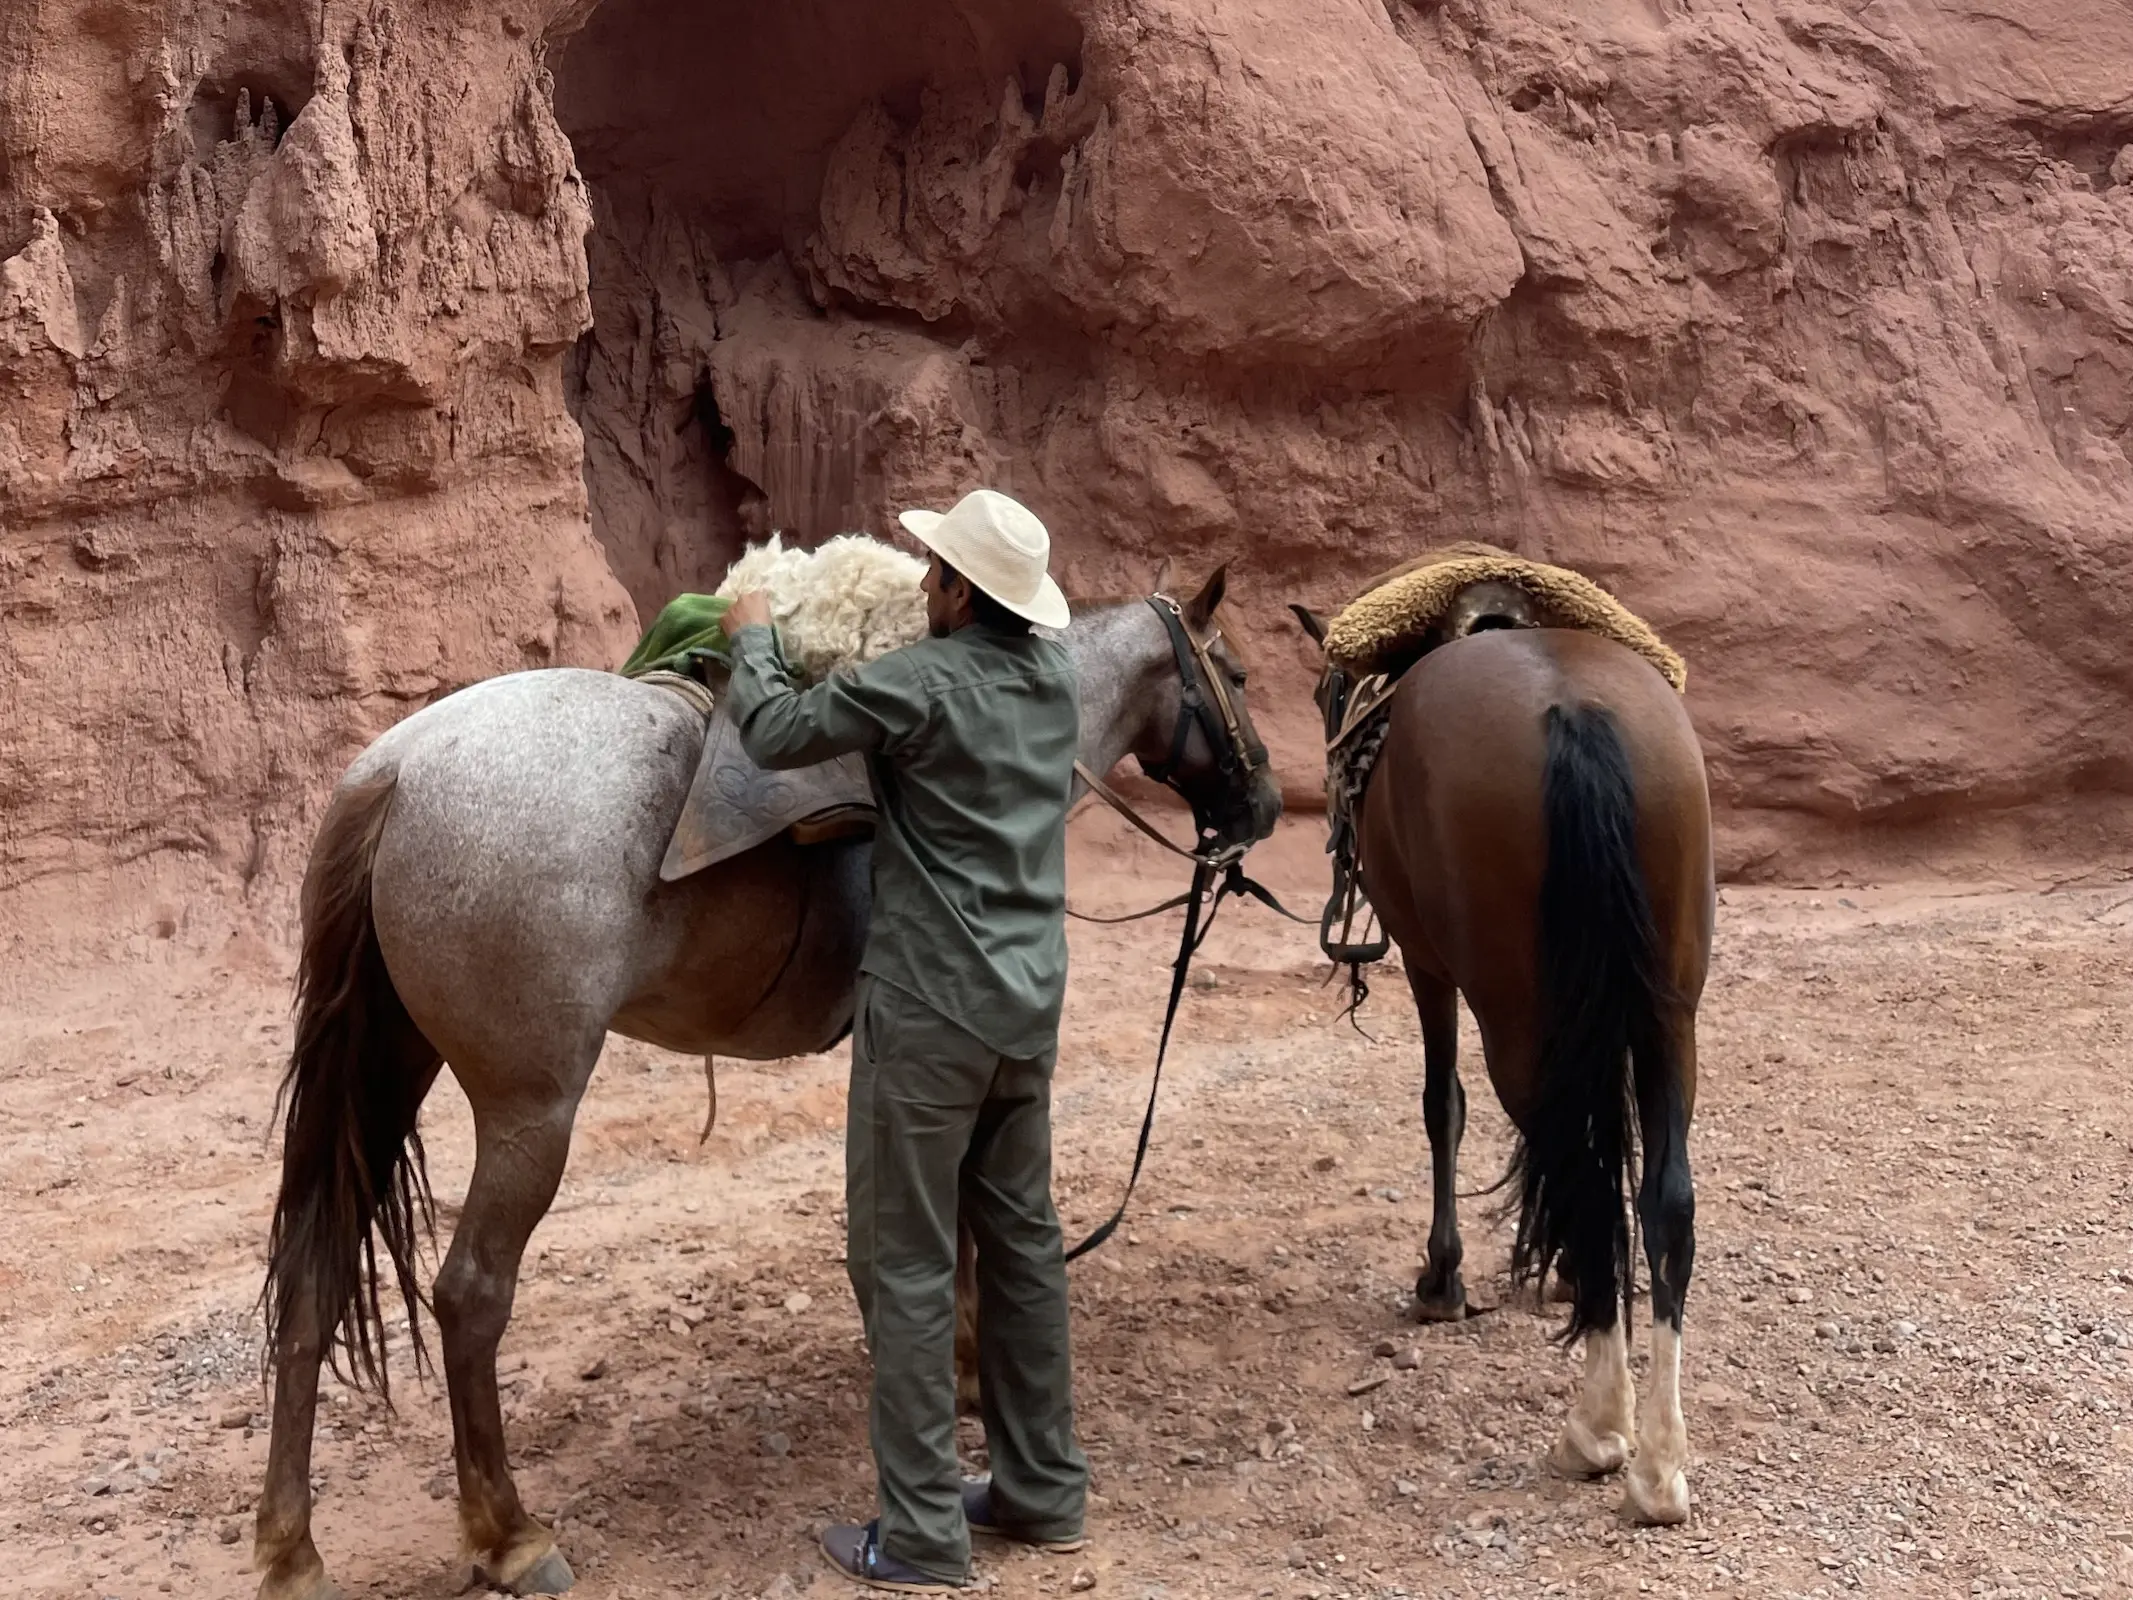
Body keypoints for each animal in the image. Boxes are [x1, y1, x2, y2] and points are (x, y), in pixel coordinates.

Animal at [255, 571, 1271, 1595]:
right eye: (1233, 672)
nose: (1261, 804)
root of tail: (395, 768)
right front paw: (967, 1366)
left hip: (390, 1063)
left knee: (312, 1277)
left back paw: (291, 1549)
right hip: (527, 1112)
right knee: (468, 1295)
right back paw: (509, 1533)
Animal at [1279, 605, 1714, 1527]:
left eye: (1326, 692)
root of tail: (1576, 712)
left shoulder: (1424, 962)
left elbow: (1440, 1103)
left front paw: (1440, 1278)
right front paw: (1566, 1278)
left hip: (1510, 1008)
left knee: (1582, 1176)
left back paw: (1597, 1430)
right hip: (1670, 1013)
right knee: (1663, 1200)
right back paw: (1659, 1463)